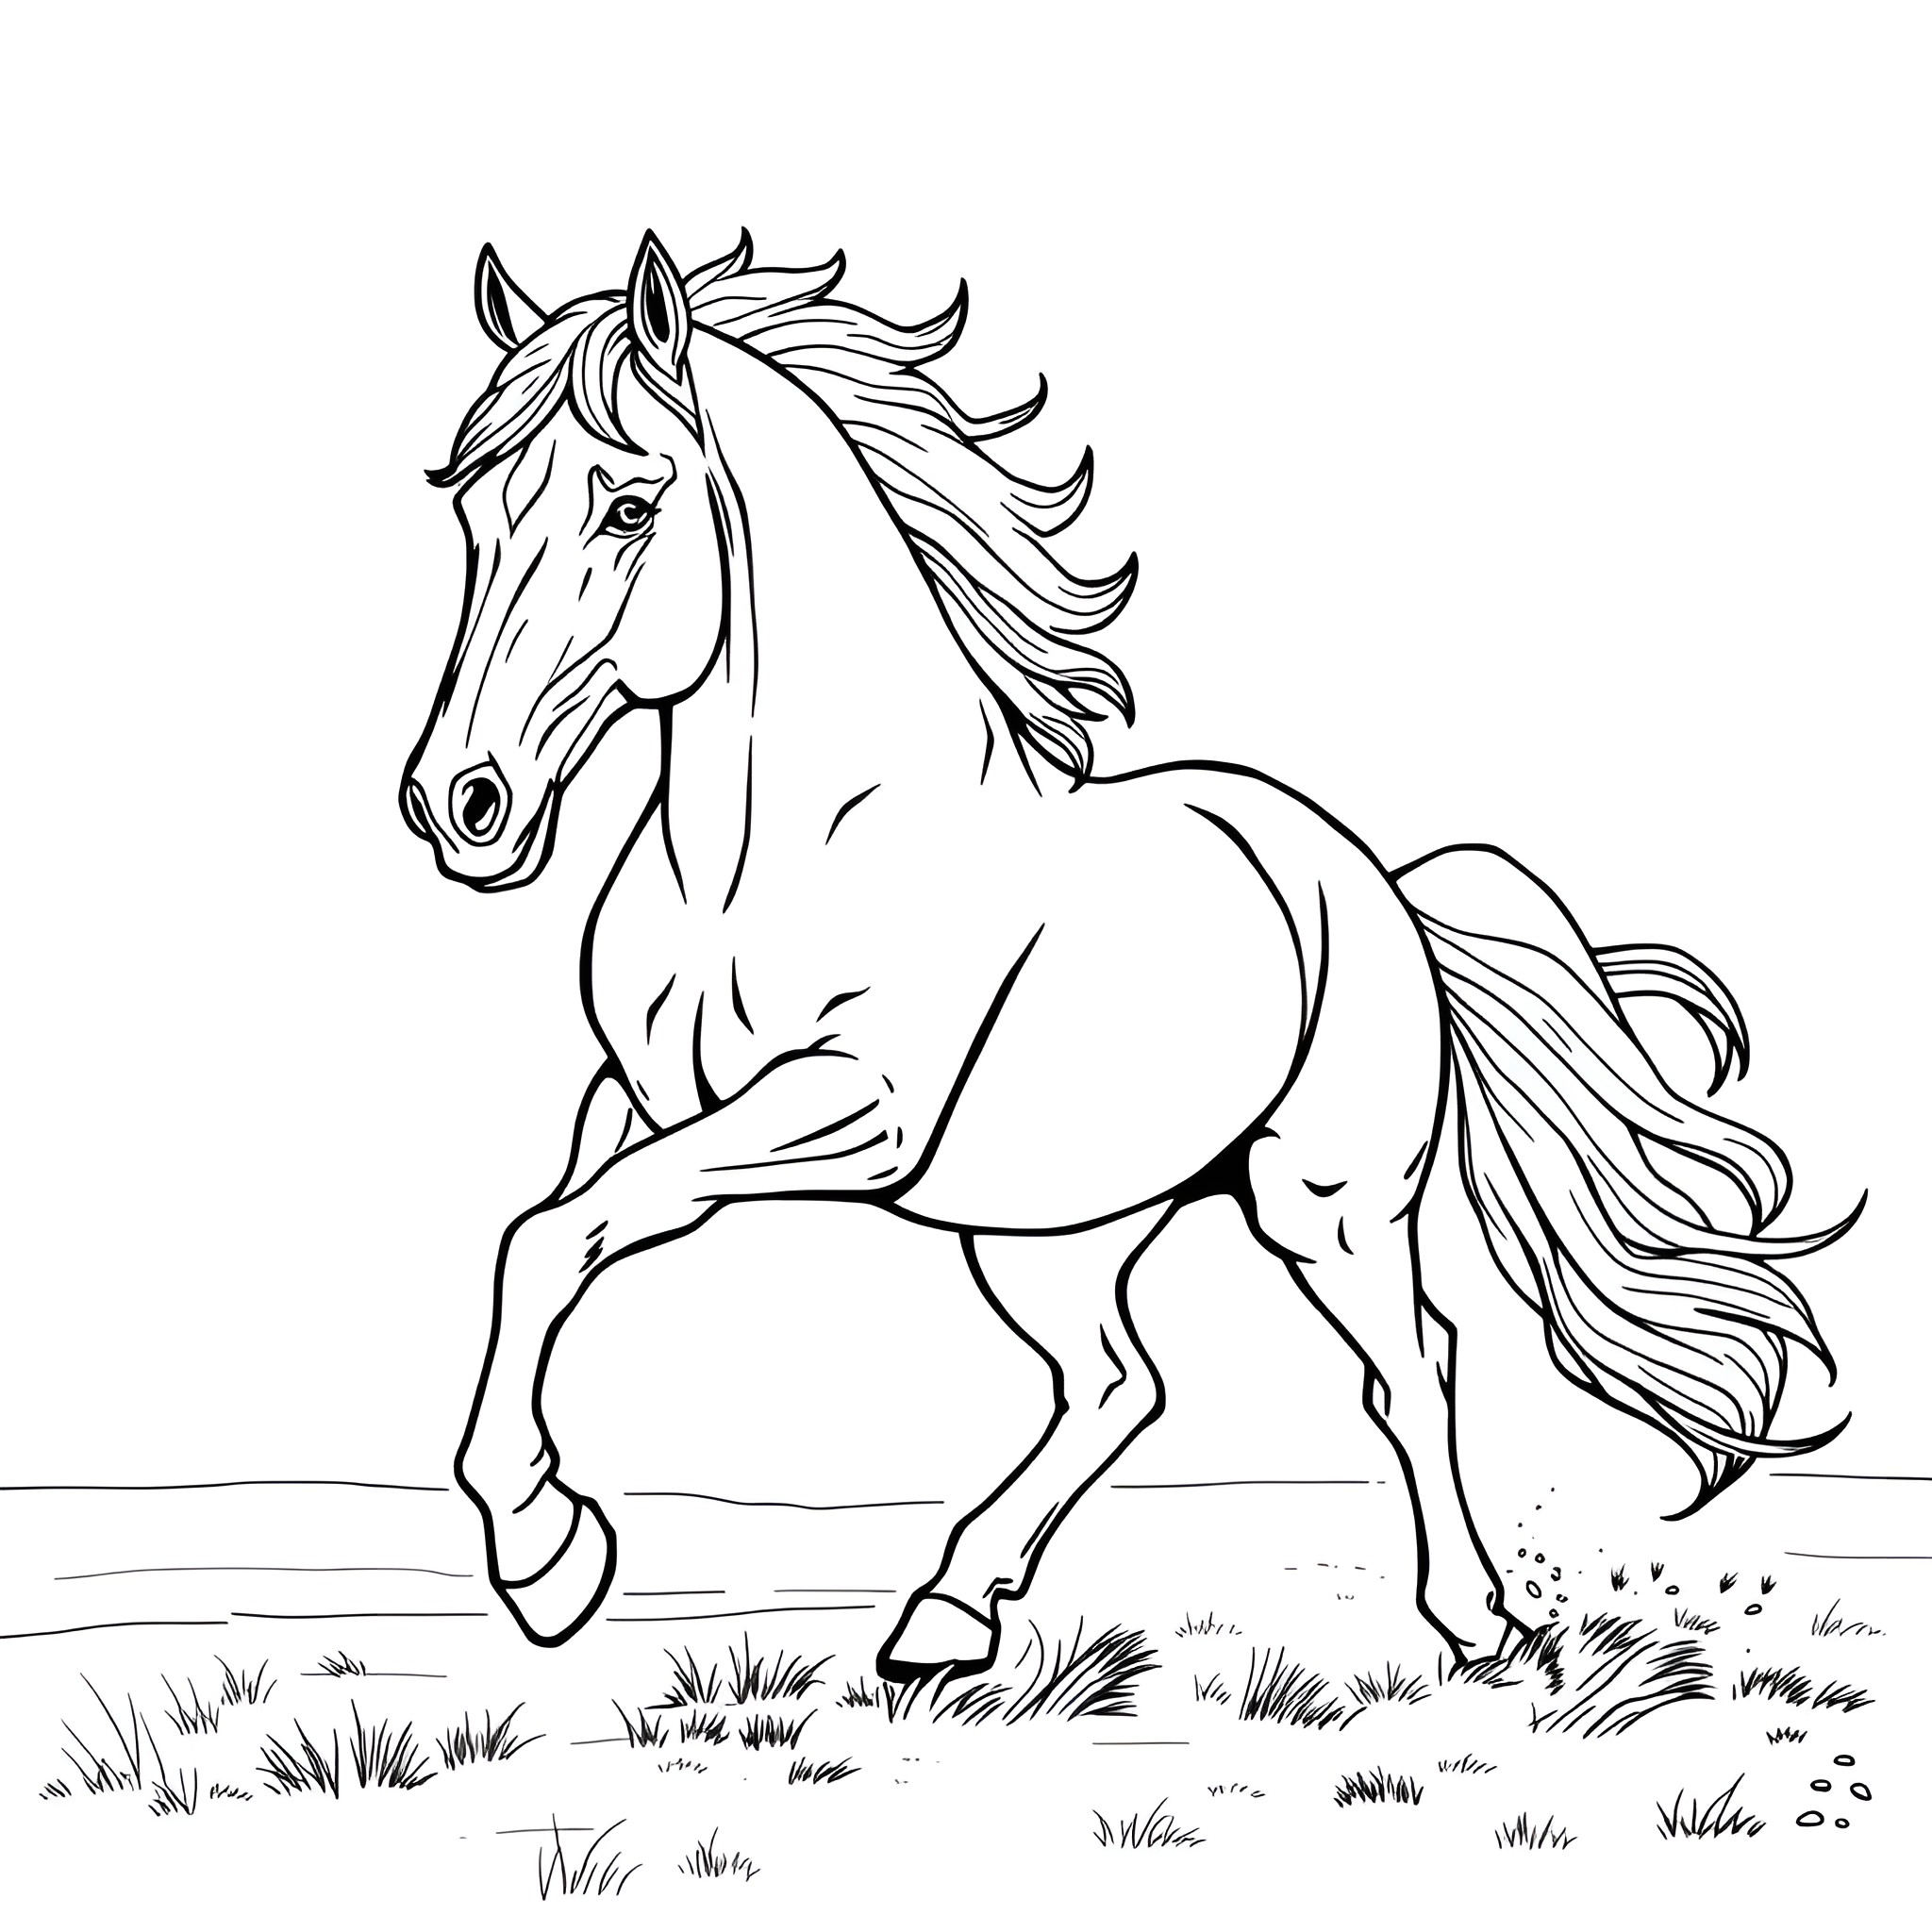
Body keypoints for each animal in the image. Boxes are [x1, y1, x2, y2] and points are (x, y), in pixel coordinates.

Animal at [399, 227, 1854, 1678]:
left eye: (628, 507)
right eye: (471, 514)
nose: (459, 803)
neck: (776, 855)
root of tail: (1373, 886)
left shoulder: (855, 1109)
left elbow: (563, 1233)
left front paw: (546, 1556)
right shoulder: (644, 1096)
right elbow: (543, 1234)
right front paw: (545, 1552)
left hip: (1323, 1204)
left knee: (1411, 1364)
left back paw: (1475, 1617)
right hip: (1055, 1224)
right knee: (1118, 1384)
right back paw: (946, 1613)